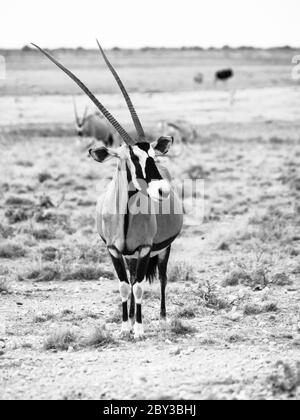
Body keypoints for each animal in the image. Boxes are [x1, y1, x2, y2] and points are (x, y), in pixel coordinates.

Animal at [32, 41, 183, 340]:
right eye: (131, 158)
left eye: (152, 155)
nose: (162, 189)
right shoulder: (114, 250)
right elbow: (125, 286)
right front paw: (125, 326)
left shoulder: (145, 249)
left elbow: (139, 286)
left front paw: (139, 330)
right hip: (131, 256)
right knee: (134, 280)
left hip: (162, 250)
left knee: (160, 278)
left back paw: (160, 318)